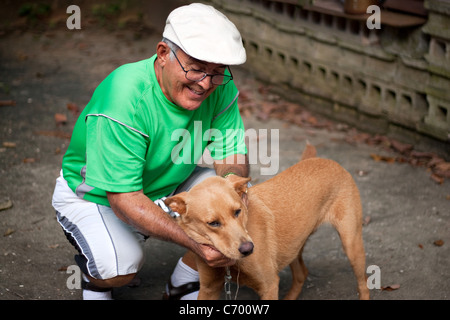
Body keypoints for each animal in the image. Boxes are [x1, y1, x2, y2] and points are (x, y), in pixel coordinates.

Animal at [165, 145, 370, 300]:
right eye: (213, 223)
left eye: (238, 211)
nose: (248, 249)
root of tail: (325, 161)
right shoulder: (209, 289)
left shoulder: (269, 286)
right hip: (293, 245)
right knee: (301, 274)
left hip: (351, 244)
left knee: (364, 284)